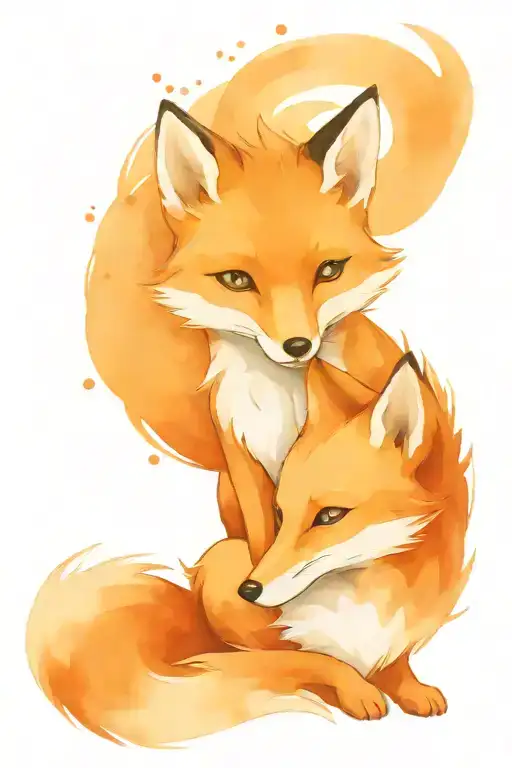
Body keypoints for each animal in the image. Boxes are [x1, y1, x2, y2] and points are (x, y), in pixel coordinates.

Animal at [26, 350, 473, 746]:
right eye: (279, 513)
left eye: (330, 515)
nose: (248, 591)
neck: (361, 599)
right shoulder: (246, 640)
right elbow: (313, 659)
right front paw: (357, 689)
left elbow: (396, 659)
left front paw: (409, 687)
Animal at [86, 27, 473, 560]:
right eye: (236, 280)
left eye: (329, 271)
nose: (298, 346)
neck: (283, 406)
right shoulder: (245, 468)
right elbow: (262, 542)